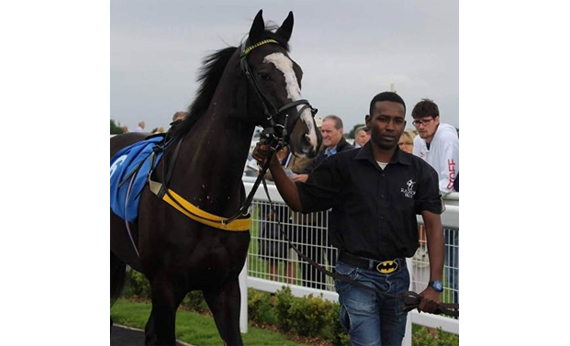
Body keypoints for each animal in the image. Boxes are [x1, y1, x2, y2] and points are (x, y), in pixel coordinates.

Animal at [110, 9, 320, 344]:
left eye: (297, 72)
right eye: (265, 74)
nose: (309, 137)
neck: (207, 192)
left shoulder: (225, 287)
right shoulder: (166, 286)